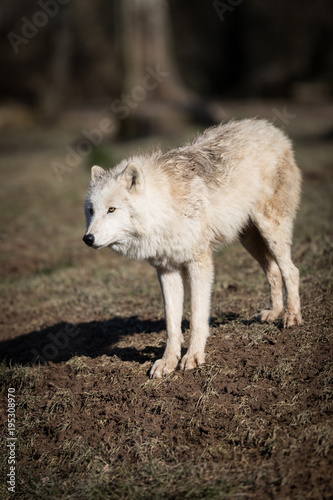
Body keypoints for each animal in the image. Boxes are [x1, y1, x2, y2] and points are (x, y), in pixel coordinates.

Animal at [82, 119, 300, 378]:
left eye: (112, 209)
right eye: (91, 211)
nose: (88, 239)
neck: (164, 209)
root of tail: (271, 129)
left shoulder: (199, 262)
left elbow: (197, 317)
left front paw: (193, 357)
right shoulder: (166, 269)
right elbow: (172, 324)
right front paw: (168, 362)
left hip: (271, 230)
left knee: (291, 271)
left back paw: (291, 317)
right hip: (250, 241)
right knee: (273, 271)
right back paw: (274, 312)